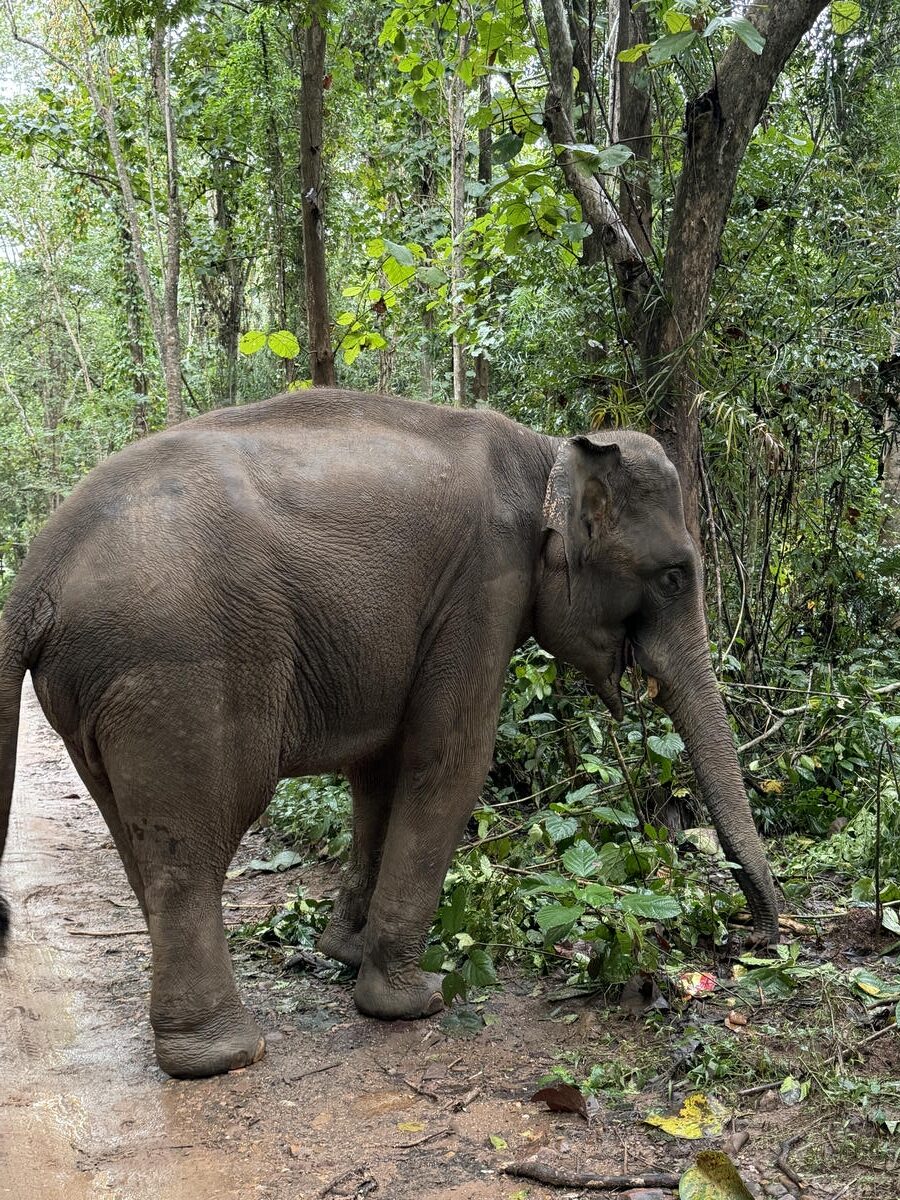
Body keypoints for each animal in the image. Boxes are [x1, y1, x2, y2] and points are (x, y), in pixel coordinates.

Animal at [0, 388, 779, 1079]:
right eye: (675, 576)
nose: (759, 940)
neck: (546, 450)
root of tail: (38, 571)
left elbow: (377, 771)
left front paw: (342, 952)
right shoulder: (482, 587)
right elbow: (451, 762)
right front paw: (411, 1002)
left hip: (93, 695)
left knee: (138, 840)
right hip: (177, 671)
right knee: (192, 846)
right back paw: (225, 1055)